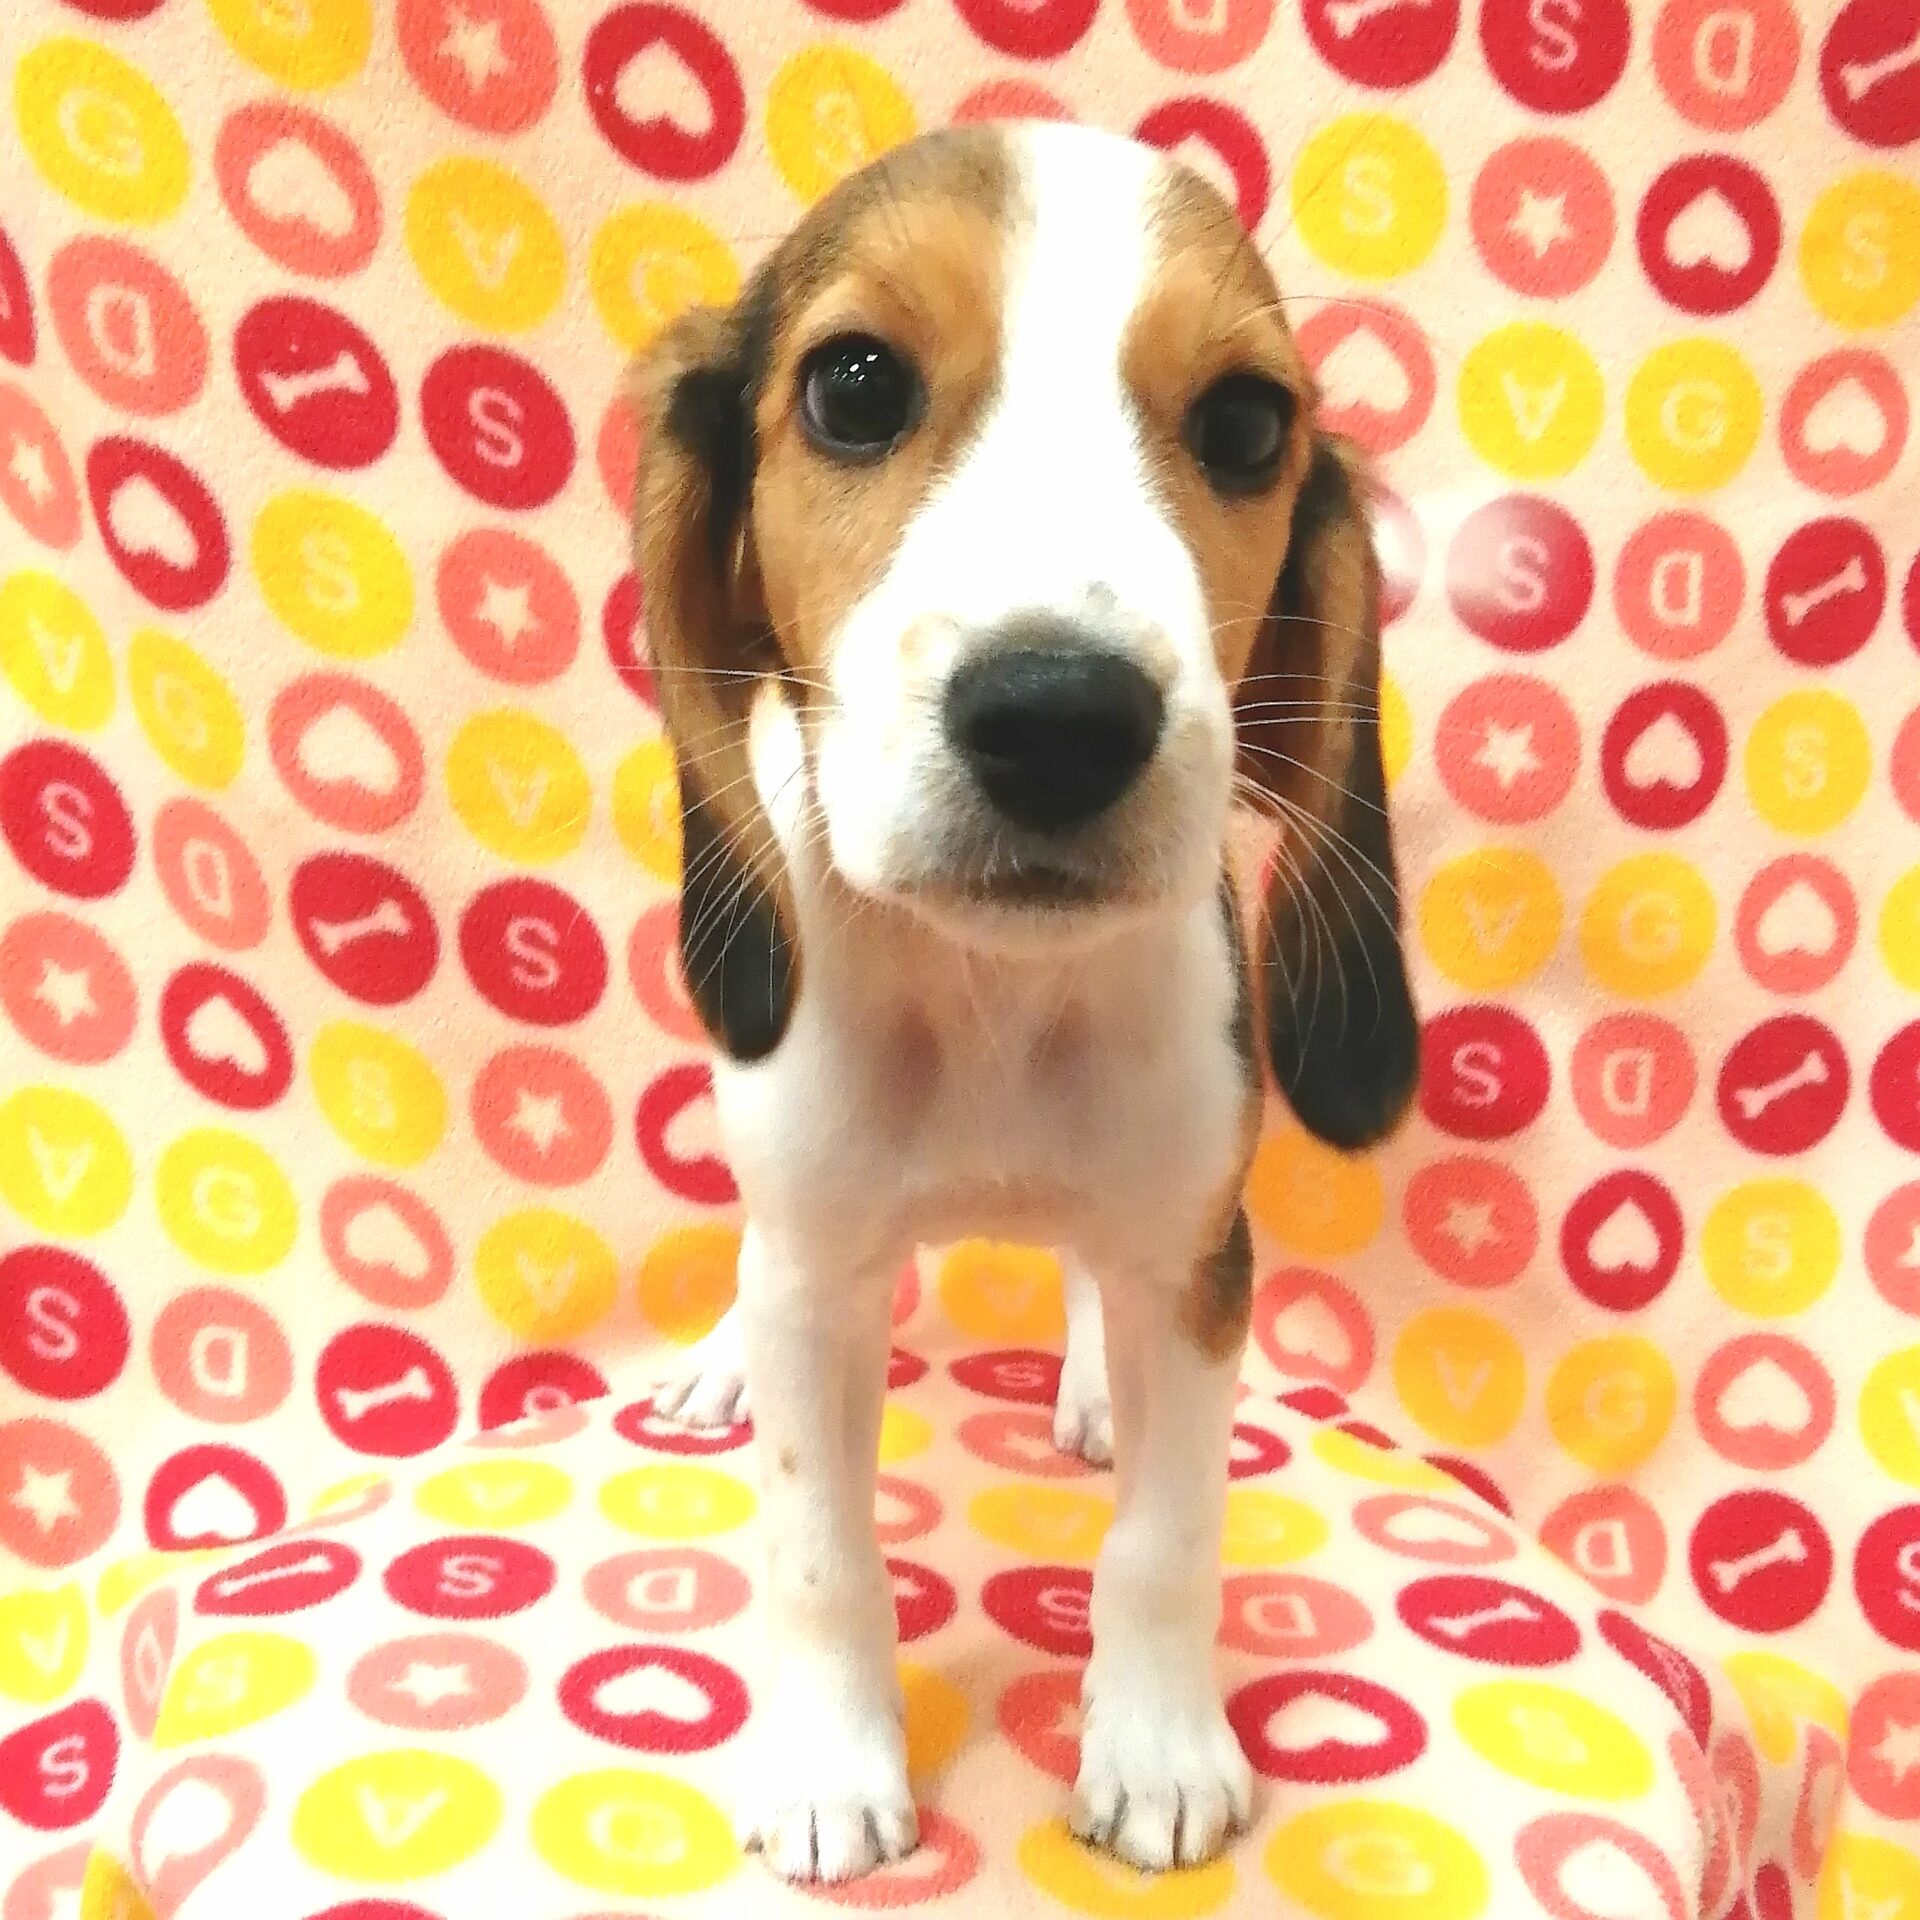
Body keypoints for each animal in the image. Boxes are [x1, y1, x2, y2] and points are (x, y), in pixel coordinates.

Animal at [626, 119, 1418, 1883]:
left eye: (1247, 424)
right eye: (853, 386)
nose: (1060, 717)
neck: (992, 989)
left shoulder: (1201, 1260)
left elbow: (1163, 1546)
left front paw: (1158, 1748)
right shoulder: (821, 1272)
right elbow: (820, 1551)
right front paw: (833, 1765)